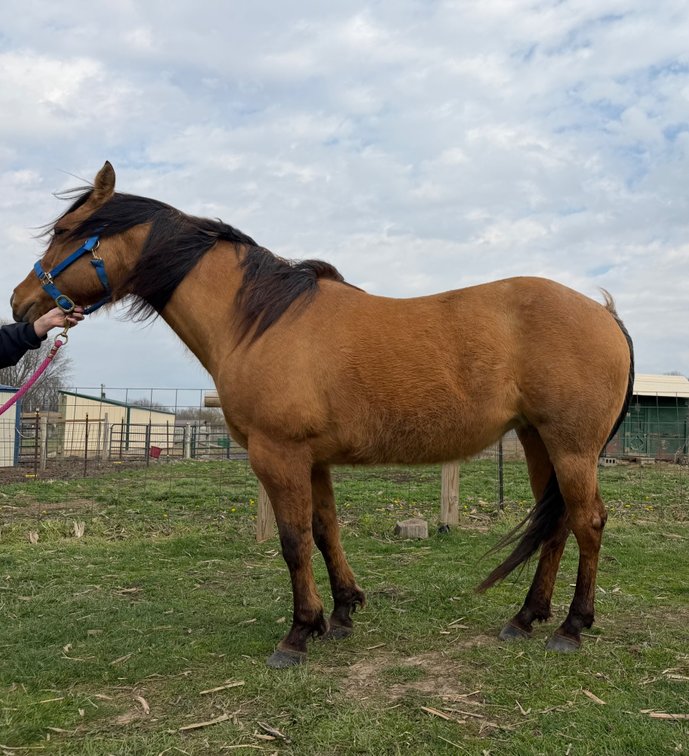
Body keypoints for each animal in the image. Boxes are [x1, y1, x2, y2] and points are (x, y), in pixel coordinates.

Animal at [11, 162, 634, 668]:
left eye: (65, 233)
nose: (21, 304)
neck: (259, 321)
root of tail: (603, 313)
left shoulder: (278, 454)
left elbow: (292, 541)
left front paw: (298, 633)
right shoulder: (313, 460)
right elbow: (324, 528)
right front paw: (342, 612)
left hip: (571, 447)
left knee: (588, 521)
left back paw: (571, 627)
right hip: (537, 441)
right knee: (556, 524)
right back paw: (526, 618)